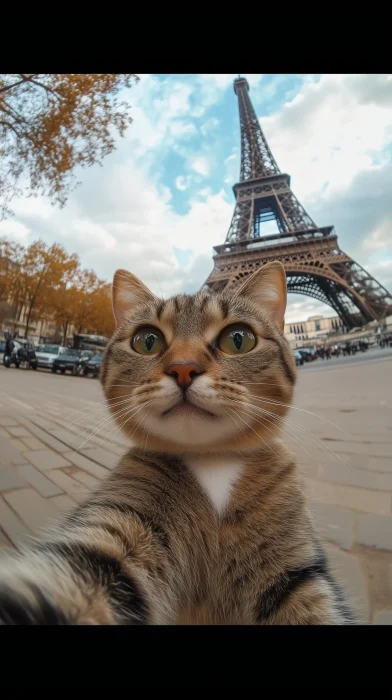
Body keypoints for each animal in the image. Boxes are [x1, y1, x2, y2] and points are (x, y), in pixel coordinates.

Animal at [0, 262, 352, 624]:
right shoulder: (120, 531)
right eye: (147, 341)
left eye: (238, 339)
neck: (212, 461)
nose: (184, 368)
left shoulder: (296, 573)